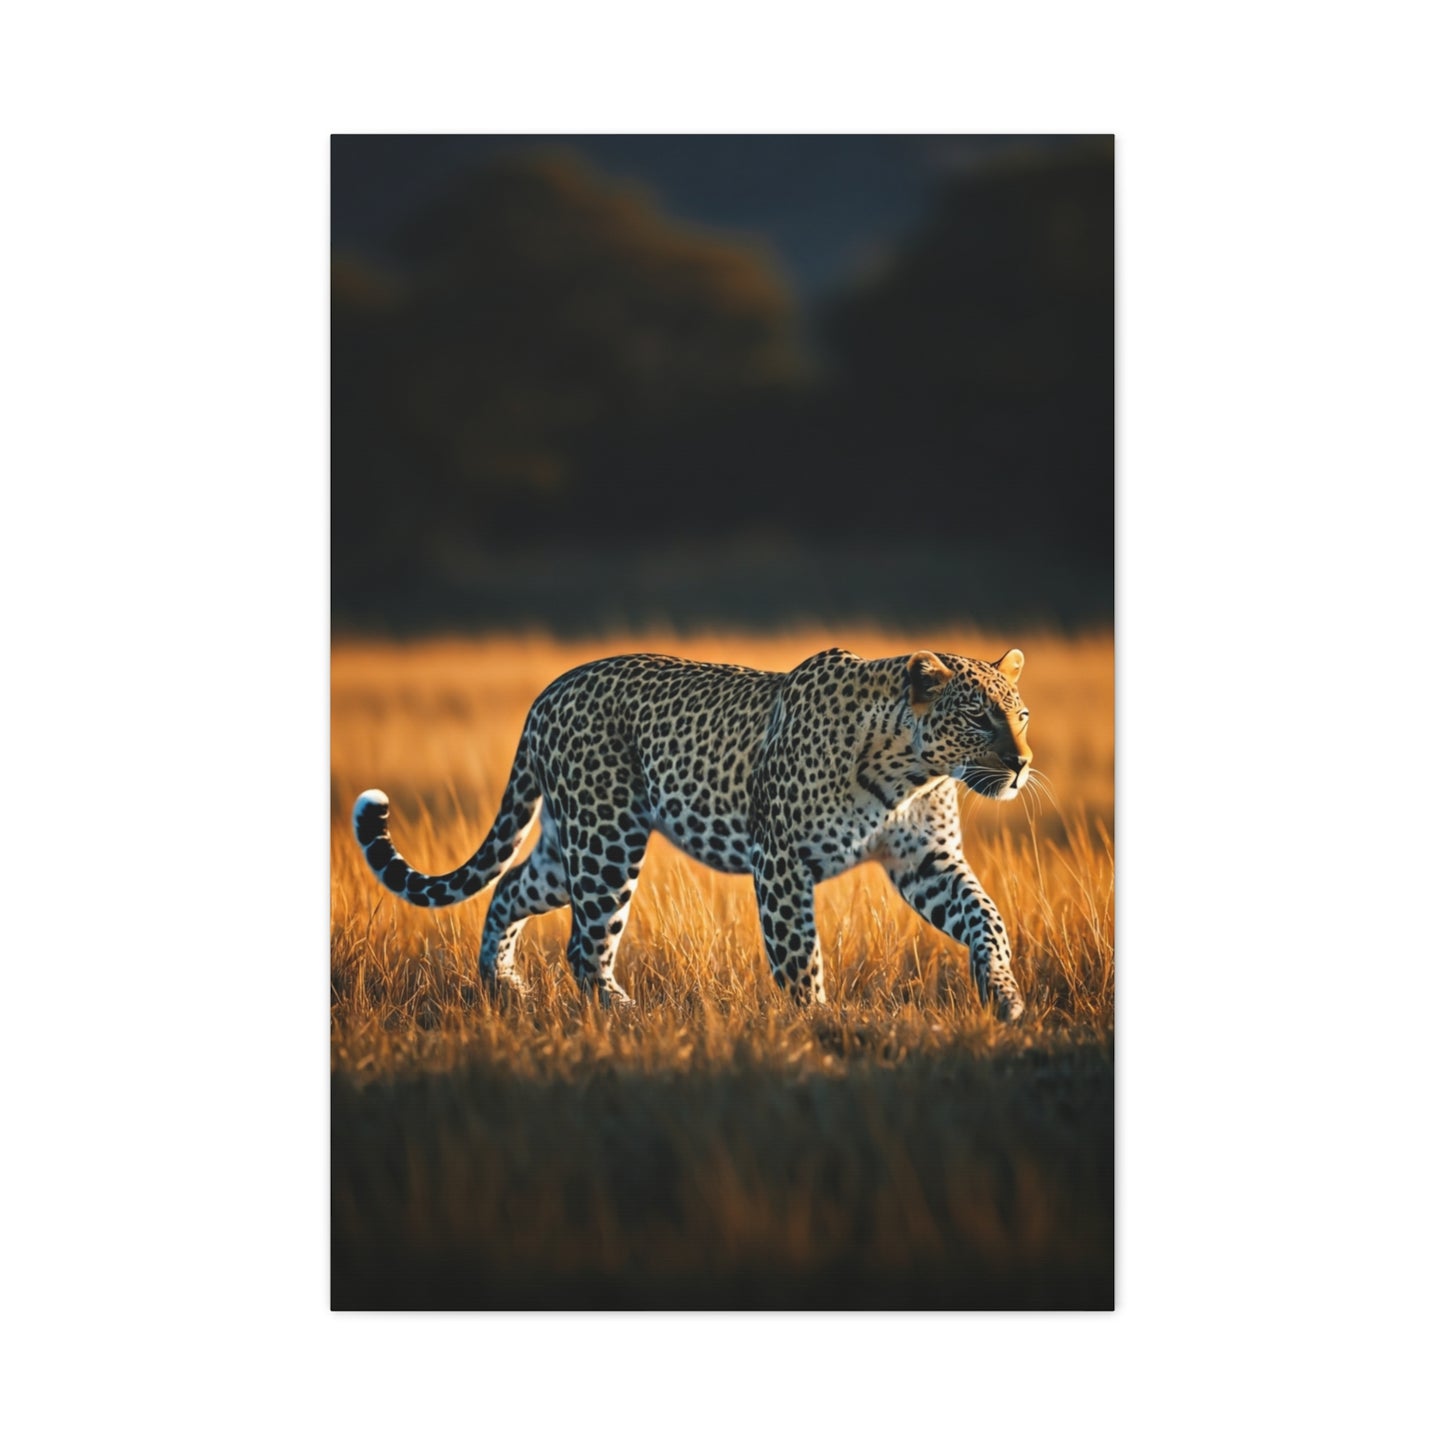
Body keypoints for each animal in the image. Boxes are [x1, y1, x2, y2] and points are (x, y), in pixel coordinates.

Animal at [353, 646, 1035, 1019]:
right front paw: (819, 1025)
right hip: (608, 837)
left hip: (568, 844)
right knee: (583, 945)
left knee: (510, 887)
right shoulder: (780, 860)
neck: (911, 772)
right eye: (979, 717)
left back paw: (503, 986)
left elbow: (987, 917)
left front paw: (1002, 993)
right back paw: (627, 1019)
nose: (1022, 763)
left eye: (1022, 714)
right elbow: (799, 956)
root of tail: (549, 692)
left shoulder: (928, 862)